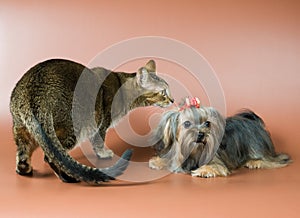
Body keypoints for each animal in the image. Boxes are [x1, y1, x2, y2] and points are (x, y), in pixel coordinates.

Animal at [10, 58, 173, 184]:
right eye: (163, 93)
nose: (172, 100)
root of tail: (33, 91)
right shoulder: (101, 123)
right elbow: (98, 141)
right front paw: (104, 153)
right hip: (72, 127)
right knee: (50, 157)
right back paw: (67, 178)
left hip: (21, 129)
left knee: (24, 156)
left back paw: (25, 170)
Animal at [150, 97, 290, 177]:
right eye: (187, 124)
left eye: (207, 123)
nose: (201, 134)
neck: (194, 151)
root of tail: (251, 119)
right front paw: (158, 161)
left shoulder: (218, 162)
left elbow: (217, 167)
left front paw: (203, 171)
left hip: (256, 146)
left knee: (272, 159)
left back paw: (255, 162)